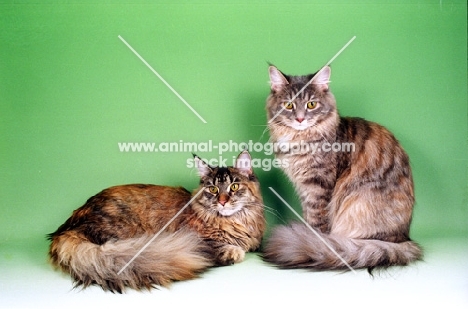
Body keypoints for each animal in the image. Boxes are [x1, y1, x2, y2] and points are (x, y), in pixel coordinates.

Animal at [49, 150, 266, 292]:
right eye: (212, 189)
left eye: (234, 187)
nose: (222, 201)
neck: (236, 222)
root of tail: (67, 229)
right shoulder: (199, 239)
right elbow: (231, 249)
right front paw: (233, 251)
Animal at [264, 64, 424, 270]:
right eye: (289, 105)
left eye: (311, 105)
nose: (300, 119)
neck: (299, 139)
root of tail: (404, 239)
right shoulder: (304, 188)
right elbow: (309, 215)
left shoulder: (318, 185)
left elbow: (317, 221)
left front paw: (312, 240)